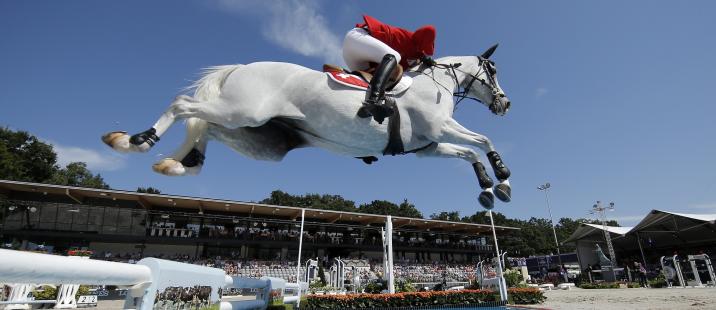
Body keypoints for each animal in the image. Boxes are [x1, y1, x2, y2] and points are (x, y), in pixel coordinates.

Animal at [103, 44, 512, 208]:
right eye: (492, 71)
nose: (505, 104)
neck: (436, 83)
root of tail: (241, 67)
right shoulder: (441, 130)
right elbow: (483, 139)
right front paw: (502, 179)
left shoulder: (428, 147)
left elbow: (468, 153)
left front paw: (487, 189)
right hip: (243, 110)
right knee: (184, 106)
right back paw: (135, 141)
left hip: (257, 136)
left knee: (205, 125)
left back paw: (177, 163)